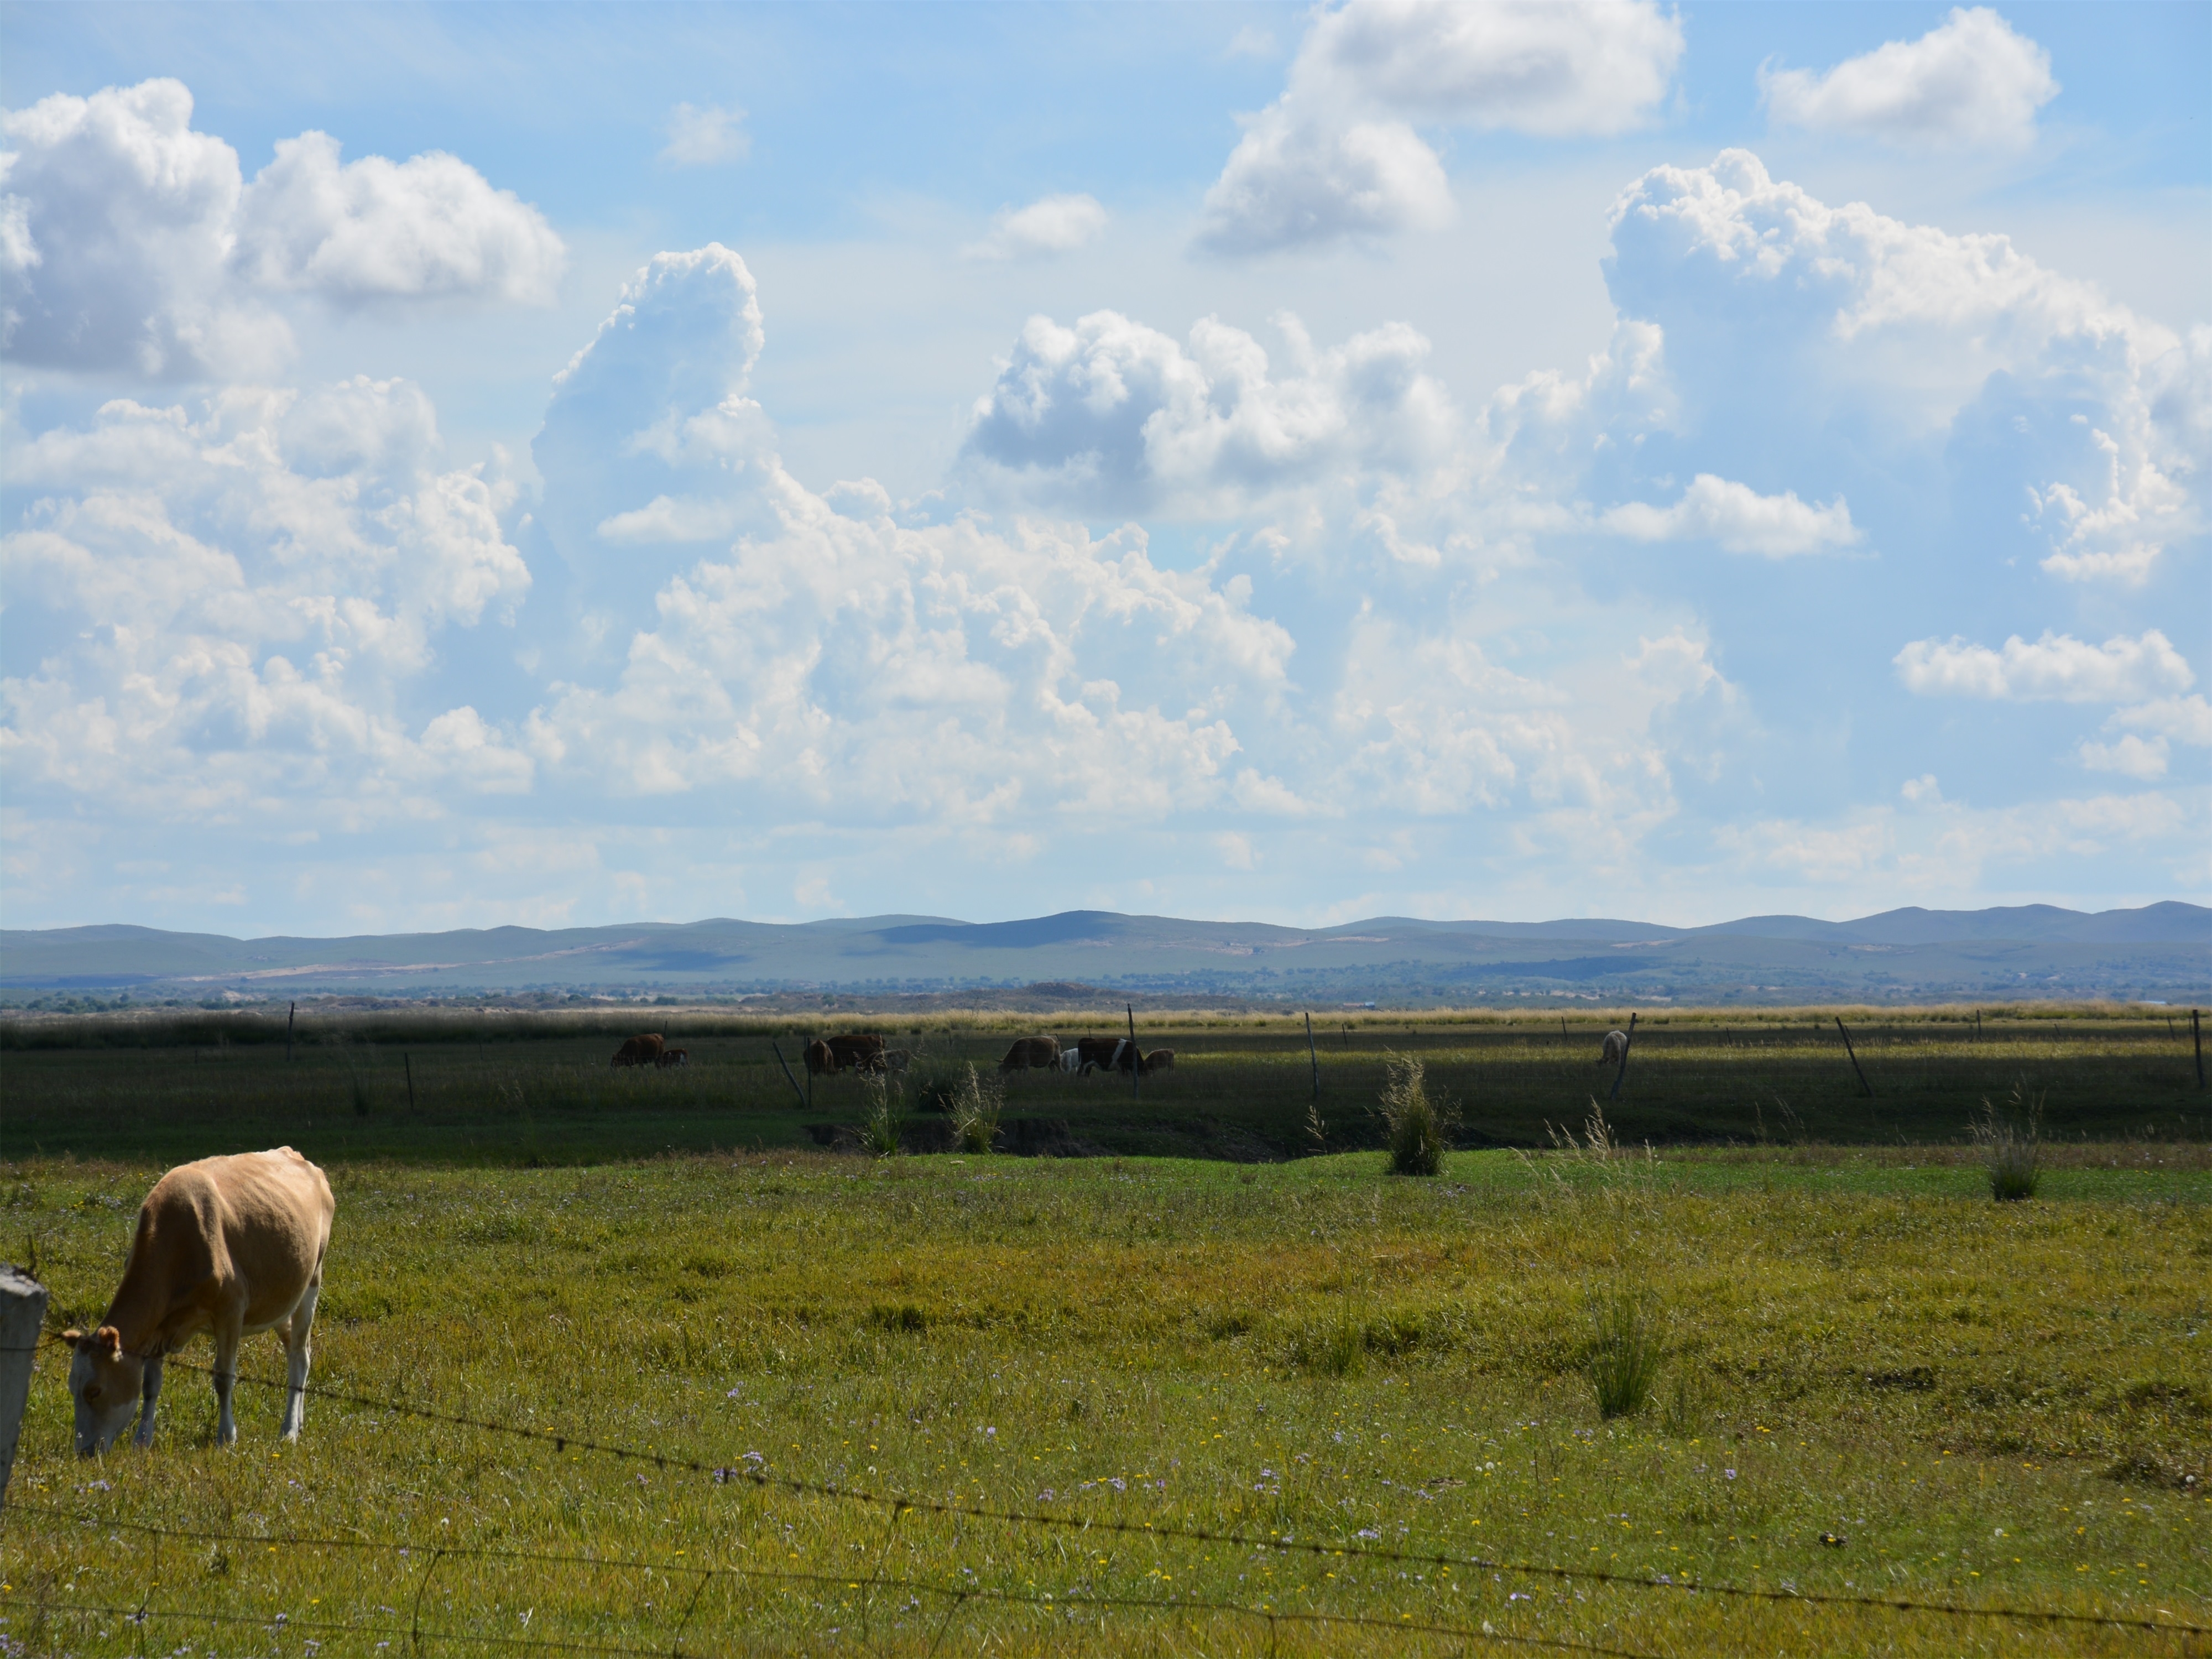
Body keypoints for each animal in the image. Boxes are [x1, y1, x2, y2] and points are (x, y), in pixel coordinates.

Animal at [64, 1159, 334, 1451]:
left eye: (94, 1391)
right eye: (72, 1388)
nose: (83, 1451)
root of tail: (302, 1160)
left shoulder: (231, 1309)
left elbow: (223, 1378)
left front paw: (226, 1437)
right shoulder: (160, 1323)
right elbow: (150, 1384)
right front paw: (143, 1439)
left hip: (312, 1281)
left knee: (300, 1355)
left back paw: (289, 1430)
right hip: (280, 1303)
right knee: (297, 1352)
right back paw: (299, 1420)